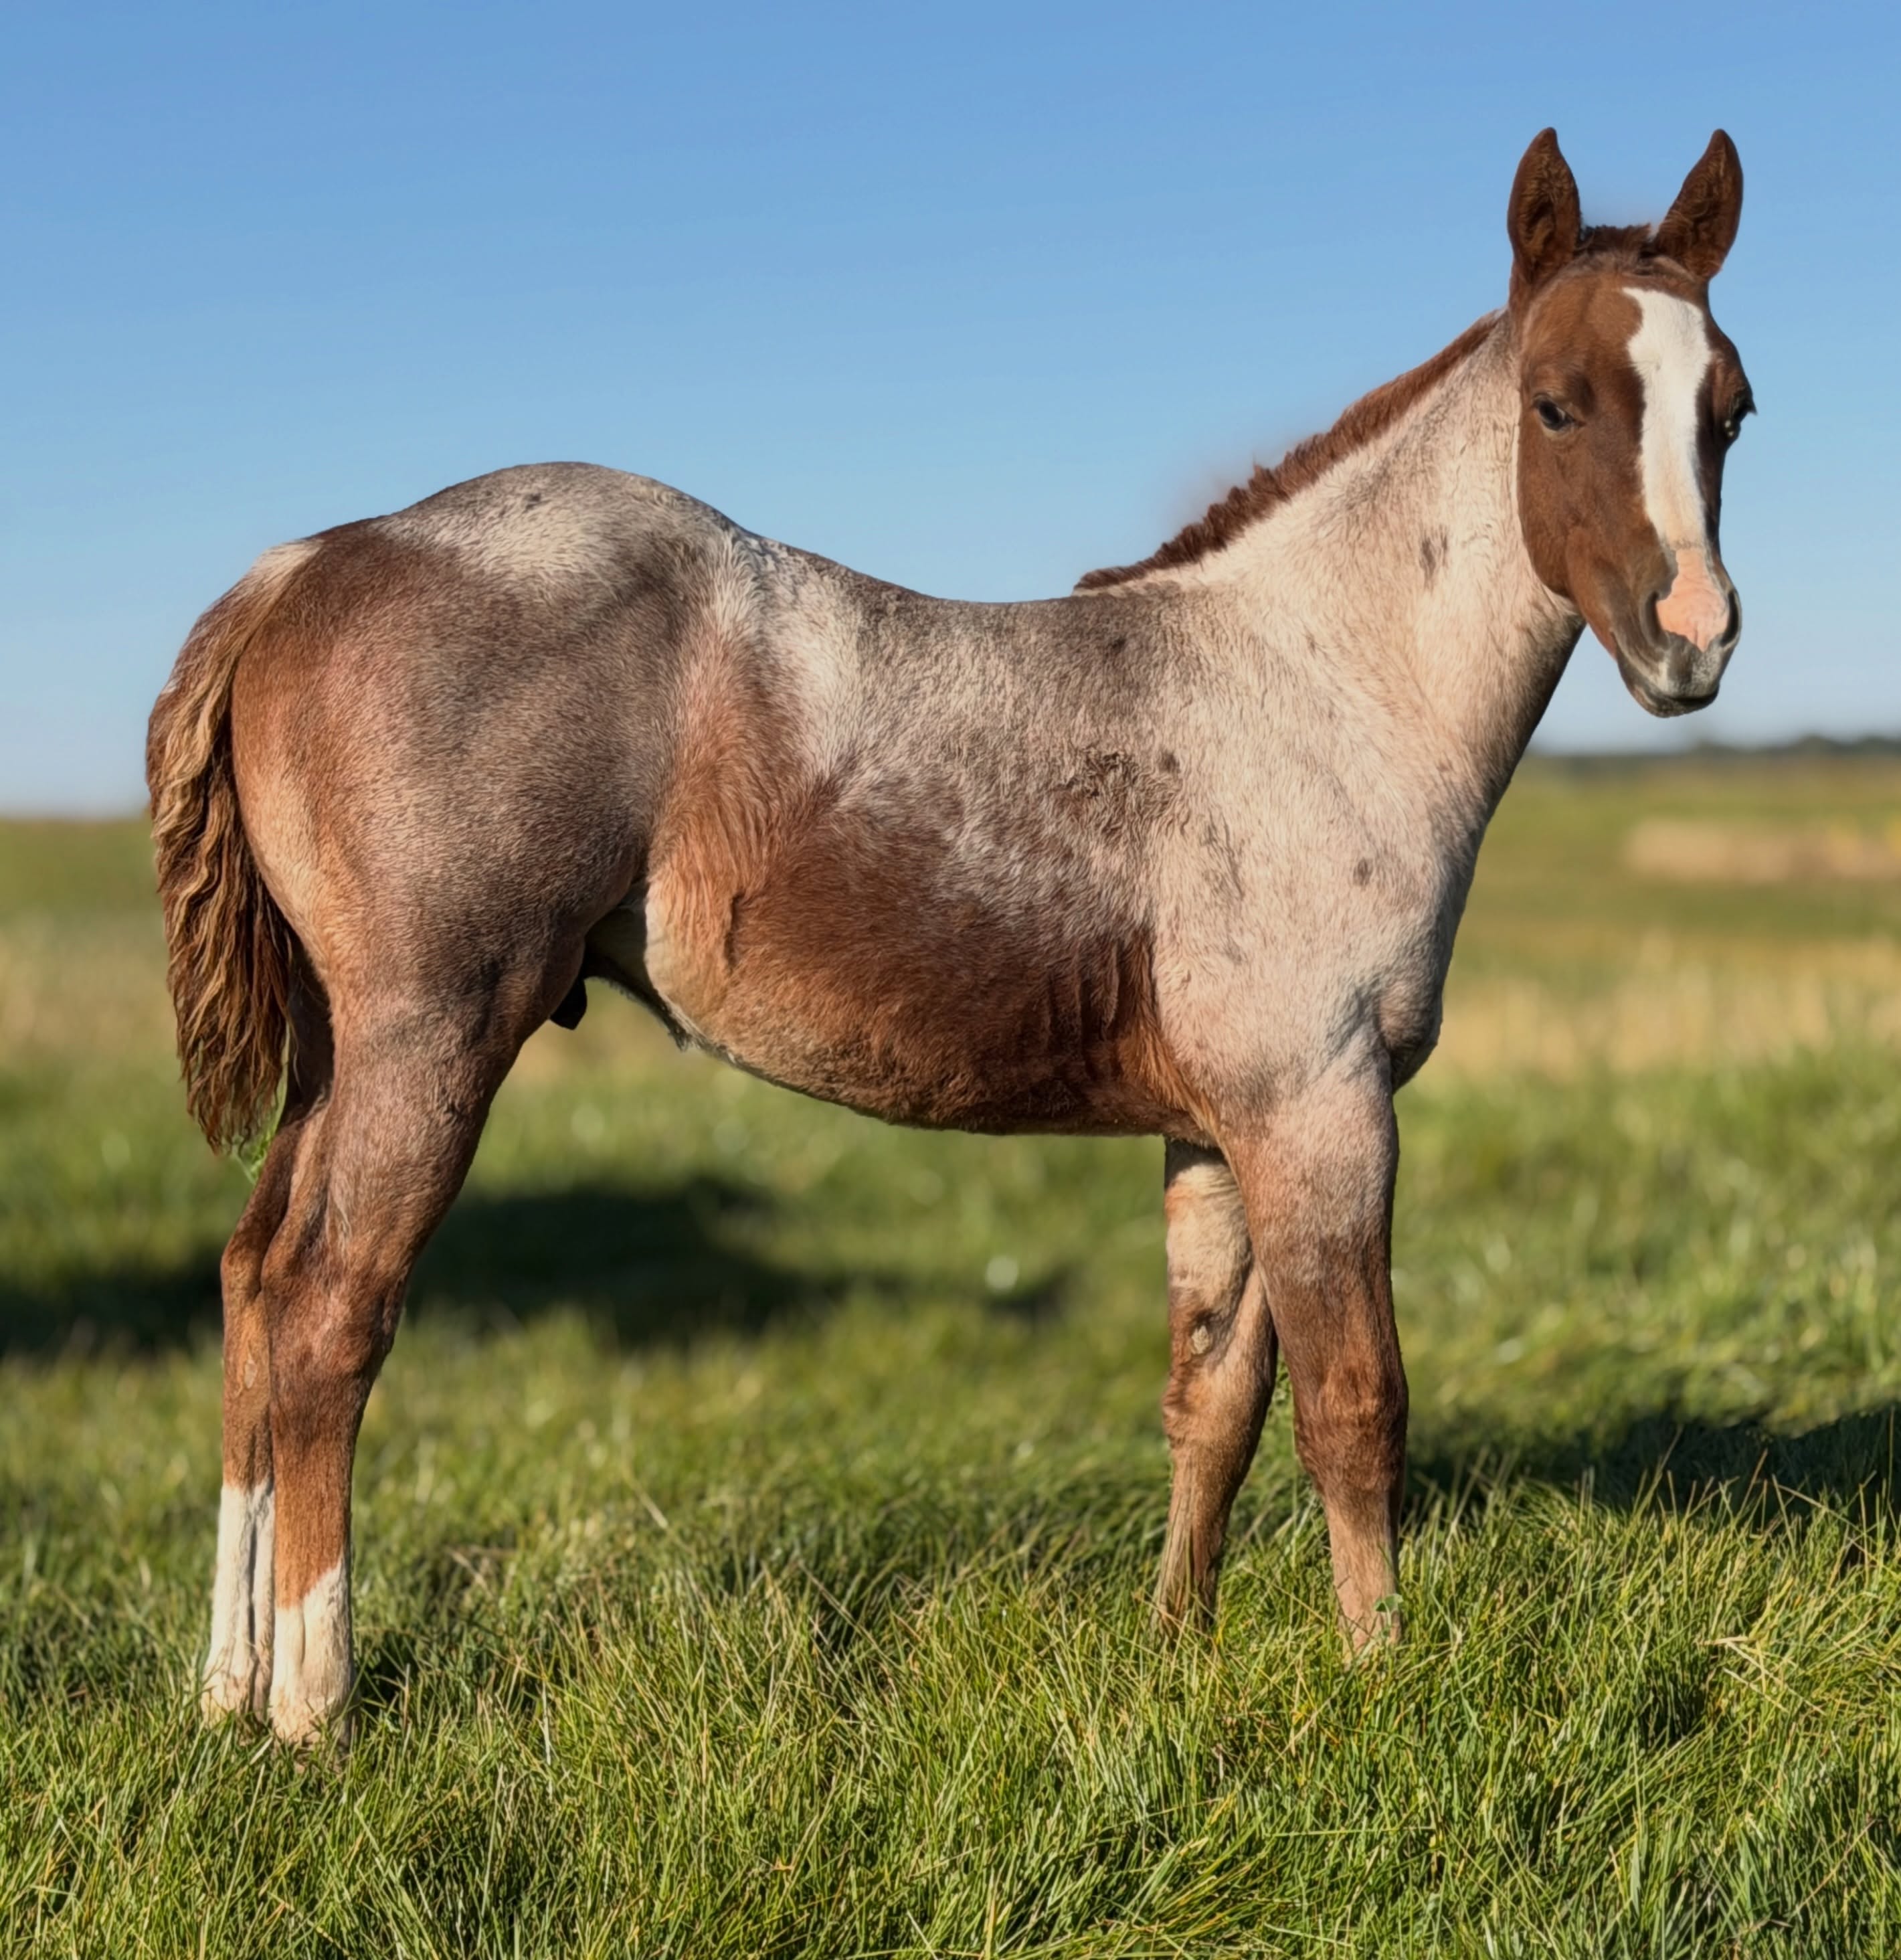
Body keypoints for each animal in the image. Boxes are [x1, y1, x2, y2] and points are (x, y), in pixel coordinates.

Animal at [149, 128, 1751, 1745]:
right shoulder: (1321, 1107)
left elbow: (1213, 1401)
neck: (1315, 684)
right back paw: (316, 1706)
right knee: (331, 1314)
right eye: (1556, 405)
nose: (1692, 639)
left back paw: (227, 1689)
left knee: (252, 1283)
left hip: (339, 1055)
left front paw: (1175, 1649)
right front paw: (1383, 1683)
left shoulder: (1216, 1127)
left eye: (1728, 412)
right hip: (433, 1036)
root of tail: (304, 562)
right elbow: (1355, 1407)